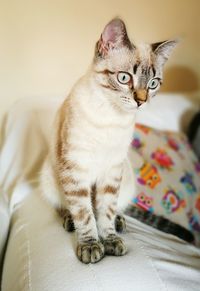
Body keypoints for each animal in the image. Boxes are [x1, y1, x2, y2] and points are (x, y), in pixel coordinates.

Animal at [39, 17, 177, 264]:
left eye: (153, 84)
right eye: (124, 78)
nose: (141, 101)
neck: (111, 117)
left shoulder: (112, 170)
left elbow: (105, 211)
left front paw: (110, 240)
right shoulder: (75, 169)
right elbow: (85, 214)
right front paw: (91, 246)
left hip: (126, 177)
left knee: (113, 208)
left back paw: (120, 222)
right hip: (50, 177)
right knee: (64, 206)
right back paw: (69, 221)